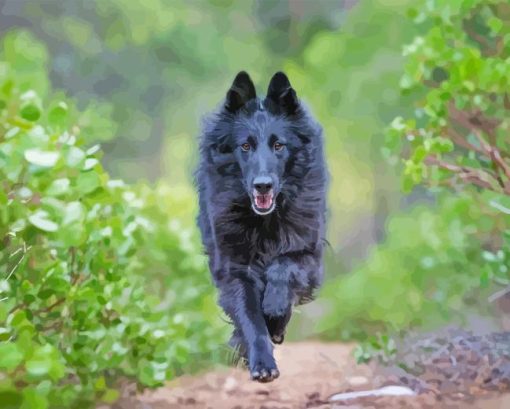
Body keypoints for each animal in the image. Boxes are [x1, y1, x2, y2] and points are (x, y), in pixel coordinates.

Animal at [193, 71, 328, 380]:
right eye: (245, 146)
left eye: (279, 145)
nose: (262, 185)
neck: (264, 221)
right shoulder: (235, 268)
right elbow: (250, 318)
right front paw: (262, 363)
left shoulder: (307, 252)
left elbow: (283, 267)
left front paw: (275, 311)